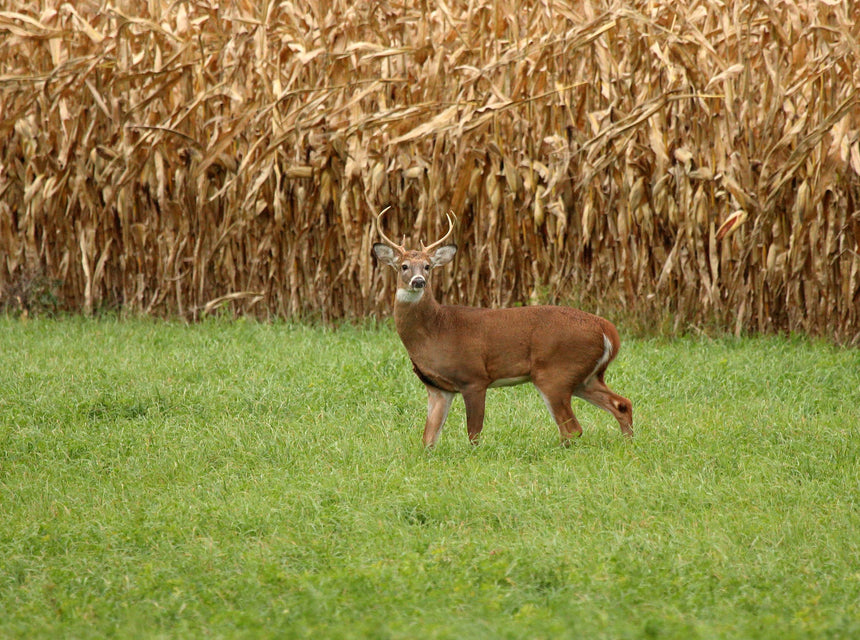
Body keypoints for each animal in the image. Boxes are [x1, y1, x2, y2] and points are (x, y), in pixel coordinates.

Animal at [372, 208, 632, 448]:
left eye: (427, 266)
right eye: (404, 266)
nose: (419, 282)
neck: (436, 329)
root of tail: (608, 331)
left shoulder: (474, 377)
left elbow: (474, 433)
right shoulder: (437, 388)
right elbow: (428, 438)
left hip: (555, 371)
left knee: (572, 428)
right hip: (585, 376)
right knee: (622, 403)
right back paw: (628, 442)